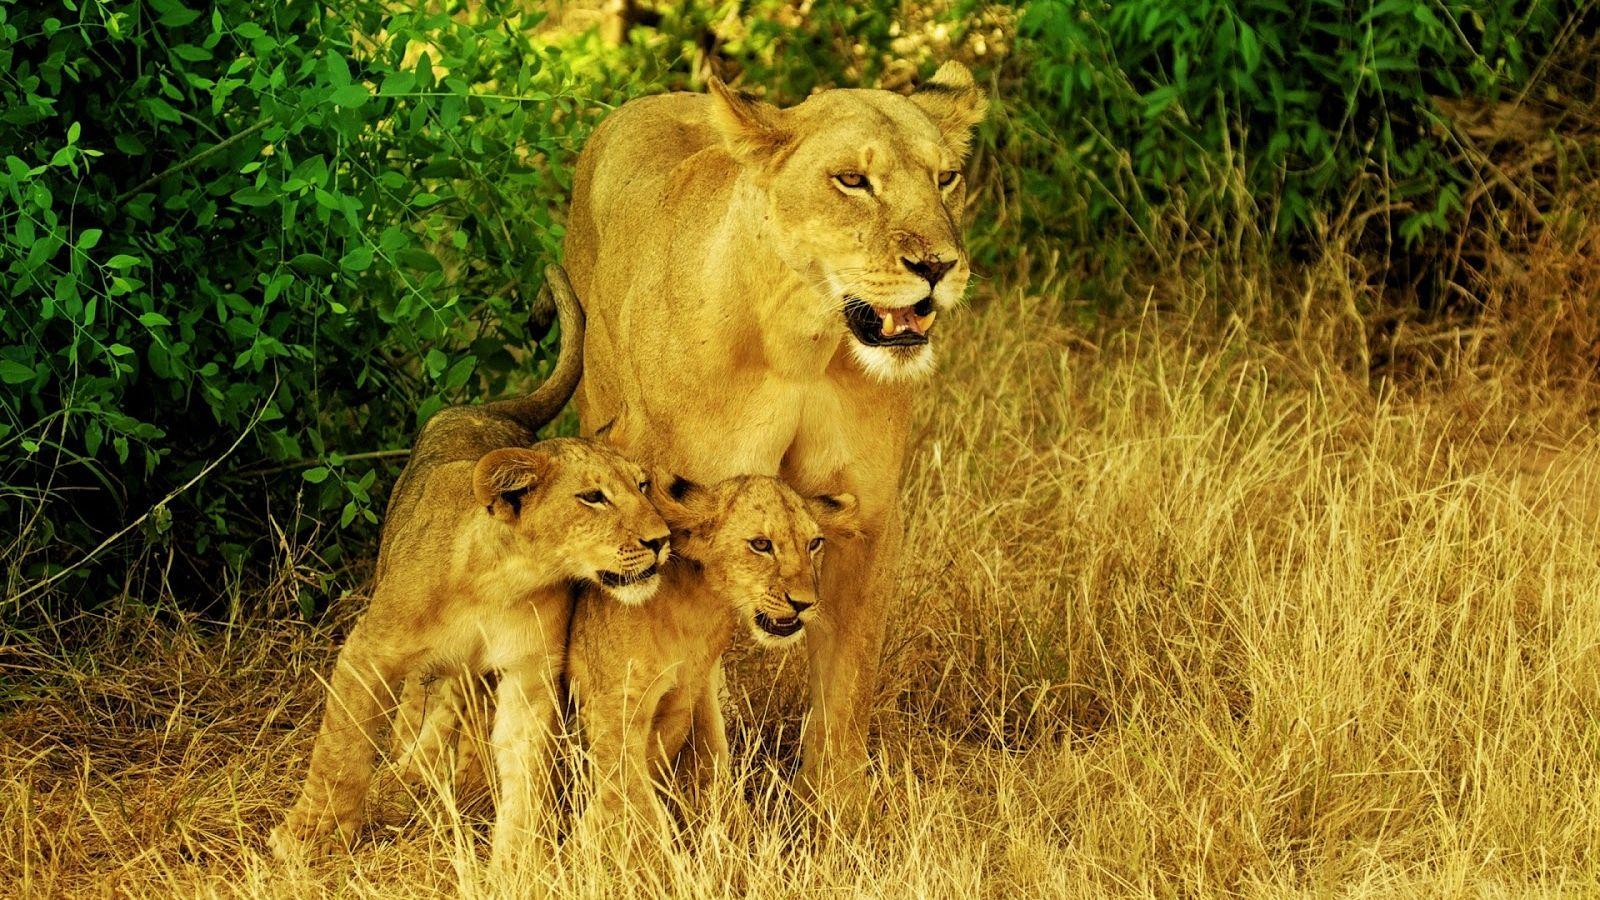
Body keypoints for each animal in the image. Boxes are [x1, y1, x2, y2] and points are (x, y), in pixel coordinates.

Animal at [267, 265, 672, 868]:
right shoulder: (369, 650)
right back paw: (408, 773)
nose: (662, 540)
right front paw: (308, 835)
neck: (501, 581)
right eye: (593, 498)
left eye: (642, 486)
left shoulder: (530, 672)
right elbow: (342, 746)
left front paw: (517, 860)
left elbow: (525, 767)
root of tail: (486, 408)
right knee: (419, 708)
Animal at [564, 62, 987, 804]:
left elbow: (847, 684)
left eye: (946, 178)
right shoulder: (685, 514)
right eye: (852, 180)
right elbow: (691, 674)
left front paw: (839, 815)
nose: (938, 268)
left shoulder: (865, 517)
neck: (802, 340)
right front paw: (705, 795)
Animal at [566, 476, 860, 844]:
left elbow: (713, 756)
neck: (699, 608)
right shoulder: (612, 709)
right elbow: (637, 804)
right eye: (761, 544)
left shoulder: (699, 686)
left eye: (815, 544)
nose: (805, 603)